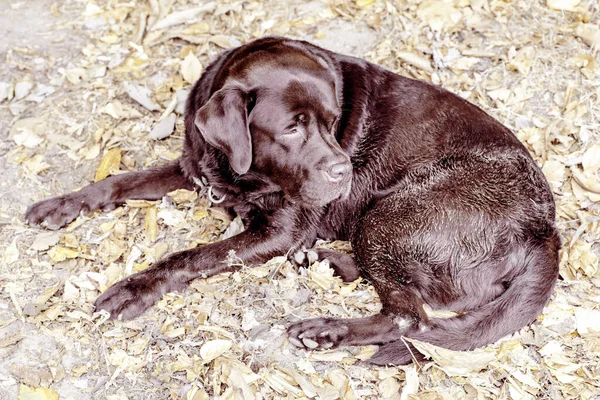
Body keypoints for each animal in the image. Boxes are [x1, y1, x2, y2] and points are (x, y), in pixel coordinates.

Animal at [24, 37, 556, 366]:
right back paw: (323, 261)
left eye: (333, 121)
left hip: (390, 215)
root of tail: (547, 230)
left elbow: (191, 256)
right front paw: (62, 205)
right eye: (292, 128)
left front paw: (133, 289)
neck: (236, 173)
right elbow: (118, 181)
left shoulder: (278, 230)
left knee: (409, 314)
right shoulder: (195, 166)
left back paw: (326, 329)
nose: (344, 170)